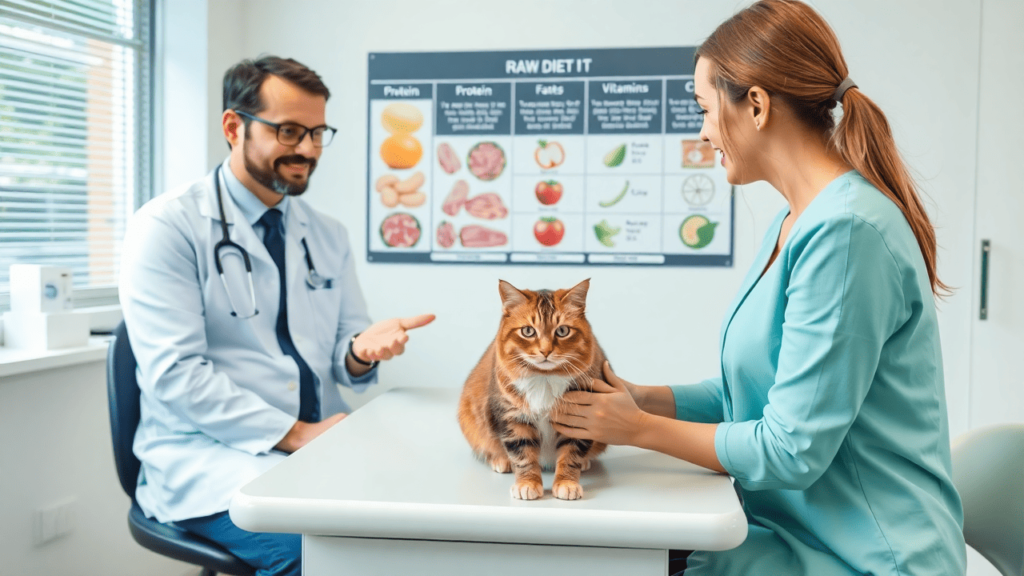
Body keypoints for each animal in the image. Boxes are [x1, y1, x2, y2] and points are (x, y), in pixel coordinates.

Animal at [462, 278, 606, 498]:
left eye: (562, 330)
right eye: (528, 331)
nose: (545, 351)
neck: (544, 379)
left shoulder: (579, 417)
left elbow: (571, 454)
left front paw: (567, 483)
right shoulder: (513, 416)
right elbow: (523, 455)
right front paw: (527, 484)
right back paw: (501, 461)